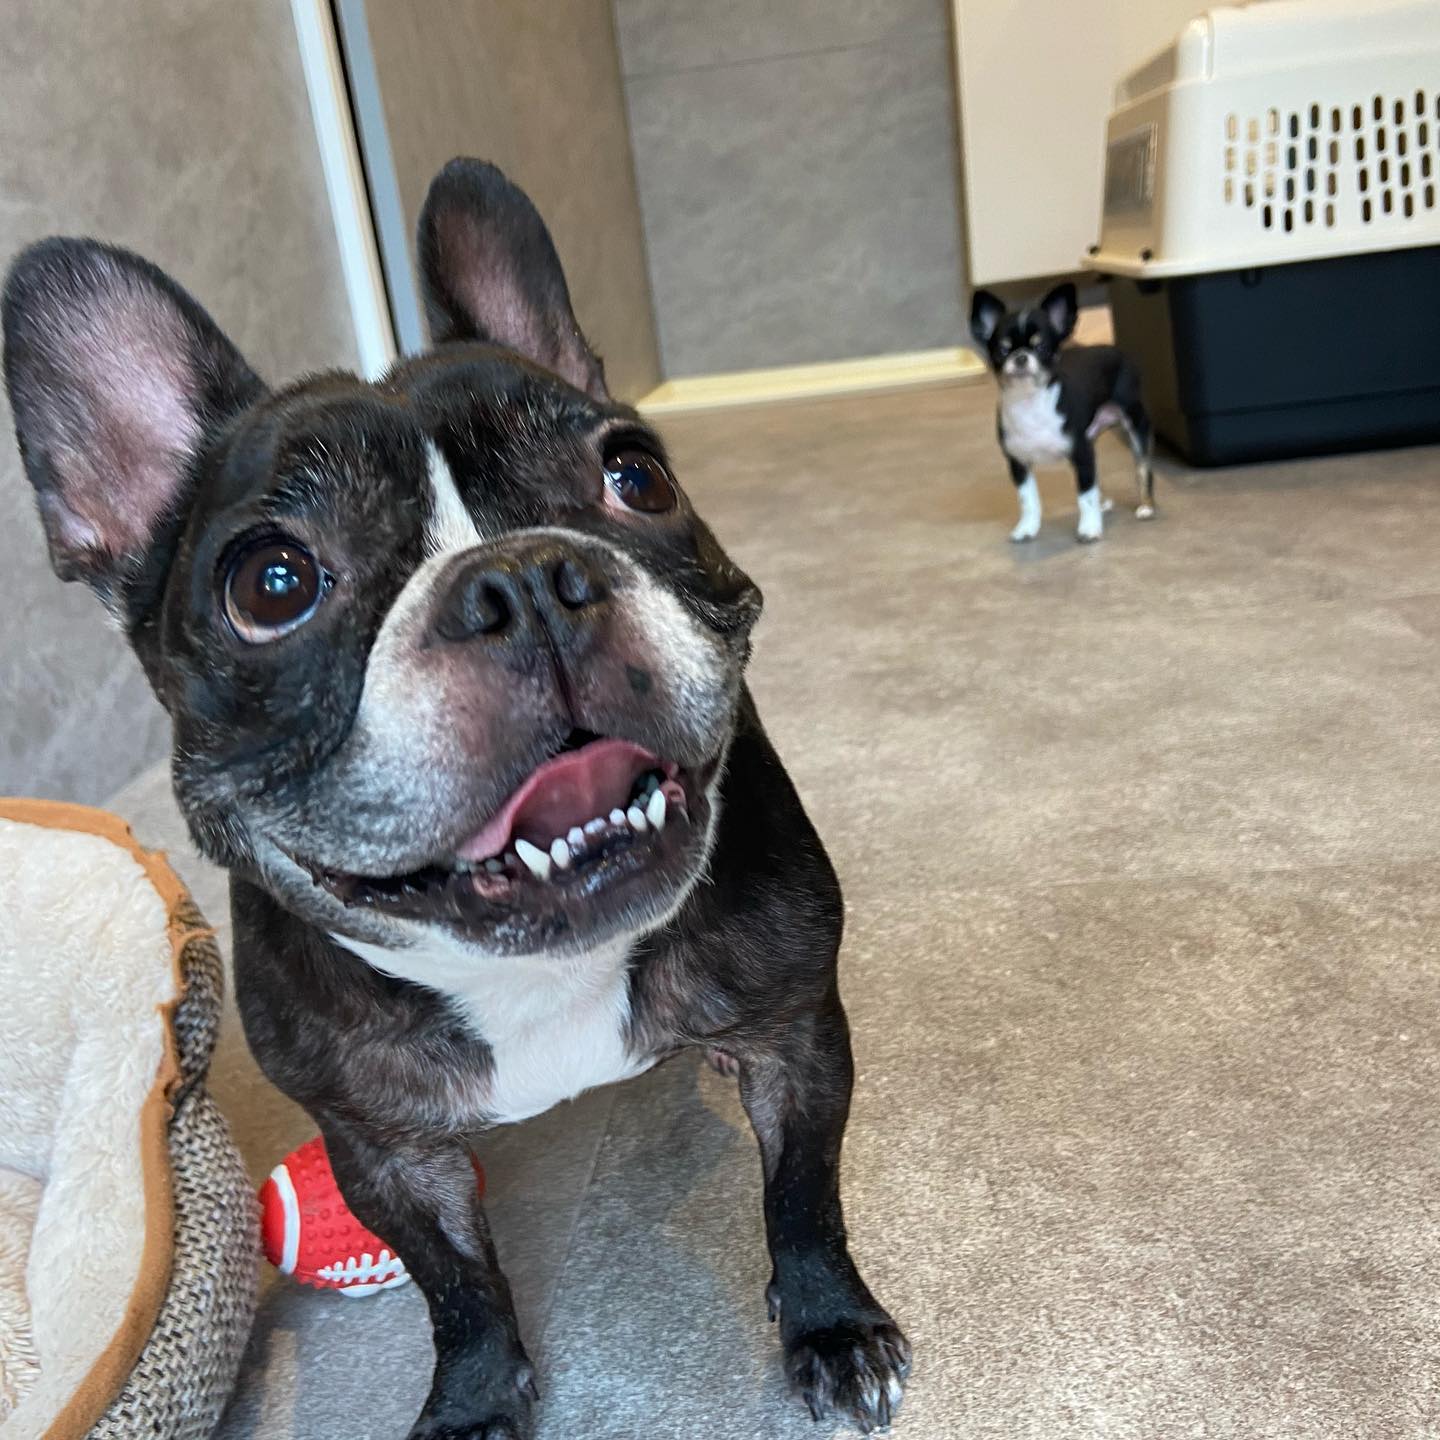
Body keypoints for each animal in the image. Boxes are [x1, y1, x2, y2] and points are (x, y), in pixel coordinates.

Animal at [2, 159, 910, 1438]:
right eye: (270, 583)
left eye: (638, 475)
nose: (525, 577)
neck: (542, 973)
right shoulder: (383, 1153)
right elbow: (457, 1283)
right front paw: (476, 1399)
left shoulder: (797, 1035)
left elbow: (803, 1193)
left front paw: (832, 1325)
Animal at [969, 282, 1154, 543]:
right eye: (1002, 351)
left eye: (1041, 348)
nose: (1021, 357)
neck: (1030, 404)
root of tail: (1115, 349)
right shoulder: (1019, 463)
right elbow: (1028, 500)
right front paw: (1027, 528)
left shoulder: (1081, 452)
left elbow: (1085, 495)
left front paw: (1089, 528)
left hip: (1135, 421)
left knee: (1142, 466)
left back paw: (1146, 506)